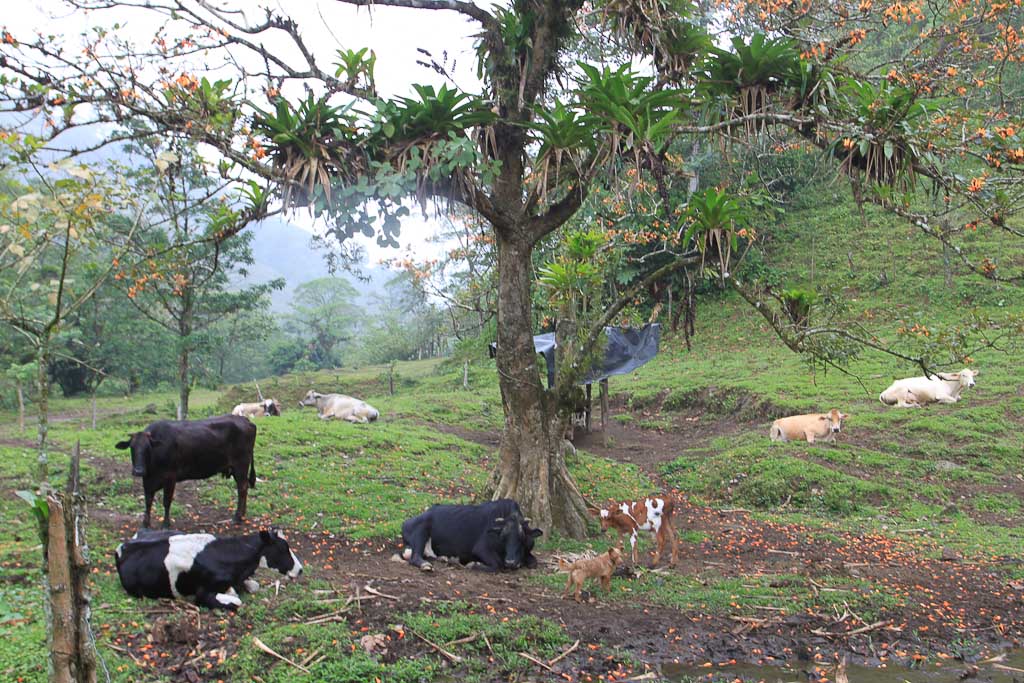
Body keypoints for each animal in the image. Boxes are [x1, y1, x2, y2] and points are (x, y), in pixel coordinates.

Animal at [115, 411, 258, 528]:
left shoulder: (170, 477)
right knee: (244, 487)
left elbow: (166, 501)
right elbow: (148, 501)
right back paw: (242, 515)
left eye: (148, 448)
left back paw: (237, 517)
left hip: (241, 465)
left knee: (242, 488)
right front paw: (145, 524)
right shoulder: (147, 480)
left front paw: (166, 524)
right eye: (132, 447)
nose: (138, 471)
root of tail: (245, 420)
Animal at [116, 528, 301, 610]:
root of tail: (124, 545)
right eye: (283, 548)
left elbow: (252, 586)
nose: (300, 570)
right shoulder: (202, 593)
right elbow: (236, 601)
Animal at [399, 499, 544, 573]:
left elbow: (534, 562)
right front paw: (474, 564)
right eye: (503, 537)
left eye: (522, 537)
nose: (510, 562)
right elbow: (497, 564)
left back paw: (445, 559)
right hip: (421, 530)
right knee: (415, 556)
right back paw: (426, 564)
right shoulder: (481, 548)